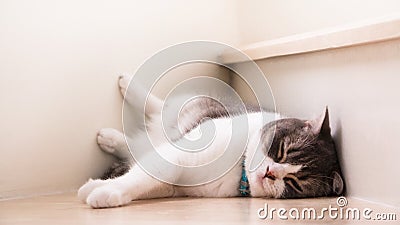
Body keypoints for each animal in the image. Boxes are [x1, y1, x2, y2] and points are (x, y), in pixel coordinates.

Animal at [78, 75, 344, 207]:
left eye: (294, 182)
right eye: (282, 151)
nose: (270, 172)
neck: (239, 167)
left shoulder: (176, 184)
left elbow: (146, 180)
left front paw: (103, 189)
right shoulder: (178, 155)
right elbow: (144, 175)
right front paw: (106, 188)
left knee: (141, 146)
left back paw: (111, 139)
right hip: (190, 110)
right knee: (159, 106)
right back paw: (127, 87)